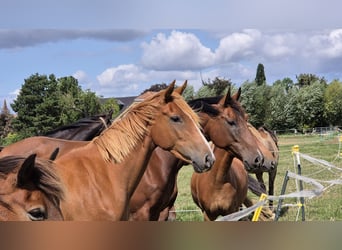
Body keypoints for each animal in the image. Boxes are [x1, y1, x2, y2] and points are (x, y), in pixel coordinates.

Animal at [128, 88, 264, 221]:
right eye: (231, 122)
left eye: (246, 119)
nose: (258, 158)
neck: (155, 167)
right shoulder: (142, 214)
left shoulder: (163, 212)